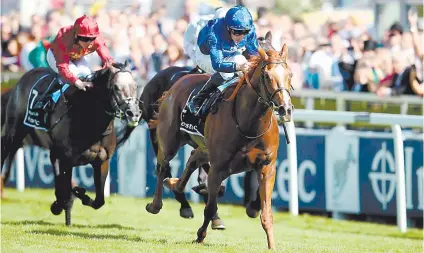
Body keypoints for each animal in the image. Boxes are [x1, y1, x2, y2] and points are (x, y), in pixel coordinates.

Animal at [1, 62, 141, 224]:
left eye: (135, 86)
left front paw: (78, 195)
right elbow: (65, 191)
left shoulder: (102, 160)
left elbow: (99, 201)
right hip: (14, 133)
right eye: (116, 87)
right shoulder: (66, 159)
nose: (134, 113)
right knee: (6, 149)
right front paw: (66, 201)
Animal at [148, 44, 292, 248]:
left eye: (290, 74)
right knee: (162, 167)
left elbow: (266, 213)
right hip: (169, 140)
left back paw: (175, 184)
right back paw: (155, 204)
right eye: (267, 76)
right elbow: (210, 207)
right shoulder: (218, 168)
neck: (249, 124)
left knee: (193, 158)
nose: (285, 109)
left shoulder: (267, 168)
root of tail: (179, 82)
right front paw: (200, 236)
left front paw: (271, 245)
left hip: (204, 147)